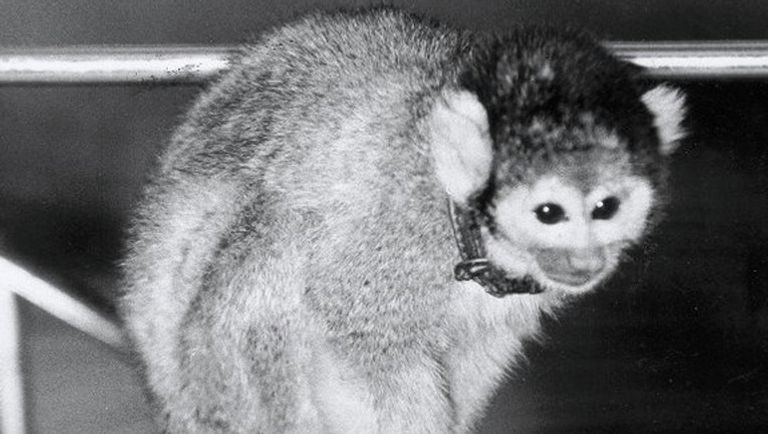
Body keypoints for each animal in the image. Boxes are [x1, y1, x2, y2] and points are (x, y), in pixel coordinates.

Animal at [119, 7, 687, 434]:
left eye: (605, 208)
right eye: (550, 213)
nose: (585, 260)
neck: (466, 228)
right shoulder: (397, 233)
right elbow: (357, 335)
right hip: (207, 387)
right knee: (280, 237)